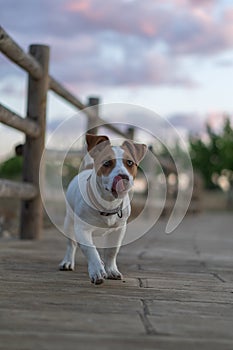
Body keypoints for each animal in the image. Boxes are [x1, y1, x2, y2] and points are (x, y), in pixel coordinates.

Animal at [59, 134, 147, 284]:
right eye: (106, 163)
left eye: (129, 163)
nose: (123, 177)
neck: (108, 203)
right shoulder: (82, 229)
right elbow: (90, 249)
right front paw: (97, 270)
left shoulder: (119, 230)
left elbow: (112, 251)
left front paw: (111, 269)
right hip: (69, 223)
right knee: (71, 244)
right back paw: (68, 262)